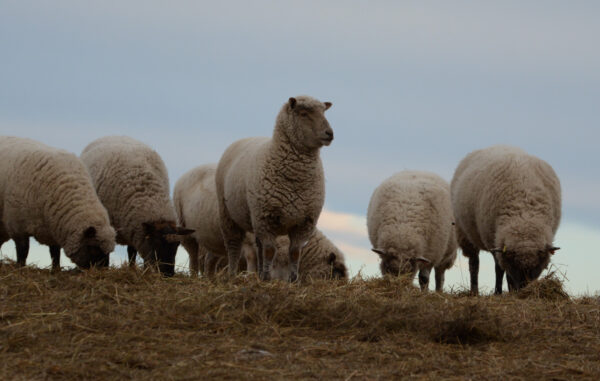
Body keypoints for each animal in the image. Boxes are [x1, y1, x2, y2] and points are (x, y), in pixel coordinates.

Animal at [0, 135, 116, 268]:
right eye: (93, 247)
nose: (104, 269)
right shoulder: (17, 225)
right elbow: (23, 251)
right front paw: (20, 267)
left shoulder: (54, 228)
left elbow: (55, 252)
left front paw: (56, 269)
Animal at [79, 137, 192, 276]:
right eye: (156, 242)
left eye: (177, 245)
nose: (168, 274)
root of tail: (116, 135)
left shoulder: (134, 228)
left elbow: (132, 252)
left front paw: (135, 269)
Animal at [216, 94, 336, 280]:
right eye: (303, 113)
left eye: (324, 112)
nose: (329, 133)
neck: (296, 178)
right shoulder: (266, 218)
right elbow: (270, 251)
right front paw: (267, 278)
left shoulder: (304, 222)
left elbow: (294, 252)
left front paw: (293, 280)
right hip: (228, 214)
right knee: (234, 245)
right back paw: (232, 274)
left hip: (255, 219)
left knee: (258, 246)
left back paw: (258, 273)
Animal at [450, 145, 564, 294]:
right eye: (515, 265)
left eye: (535, 266)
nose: (523, 288)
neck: (523, 216)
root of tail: (497, 145)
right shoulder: (495, 241)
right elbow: (499, 269)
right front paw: (498, 292)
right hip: (466, 234)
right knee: (474, 263)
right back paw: (474, 291)